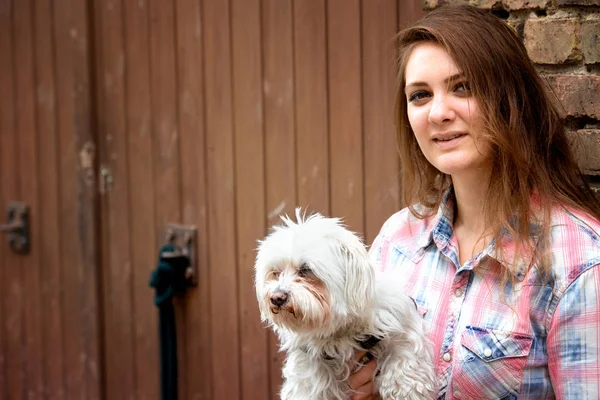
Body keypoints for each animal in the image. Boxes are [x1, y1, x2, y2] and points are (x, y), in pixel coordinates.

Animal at [253, 209, 436, 400]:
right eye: (275, 273)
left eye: (306, 270)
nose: (276, 297)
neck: (341, 329)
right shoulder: (309, 358)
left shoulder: (397, 322)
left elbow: (404, 354)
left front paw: (406, 388)